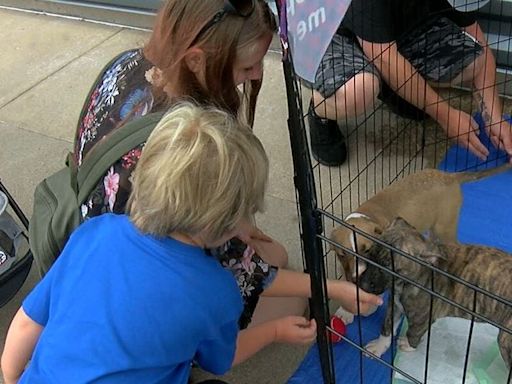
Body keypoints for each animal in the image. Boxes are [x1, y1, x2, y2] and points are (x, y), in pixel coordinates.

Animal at [358, 219, 512, 372]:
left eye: (388, 267)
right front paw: (379, 346)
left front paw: (408, 345)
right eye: (369, 254)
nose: (362, 285)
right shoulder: (395, 305)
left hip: (505, 340)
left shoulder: (421, 317)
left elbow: (413, 332)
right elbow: (387, 326)